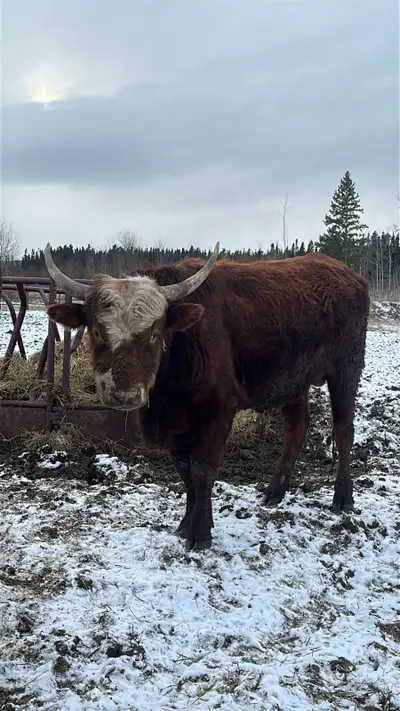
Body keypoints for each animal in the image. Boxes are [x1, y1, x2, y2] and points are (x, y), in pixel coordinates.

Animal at [44, 244, 370, 551]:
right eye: (98, 332)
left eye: (154, 334)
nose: (124, 394)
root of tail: (348, 274)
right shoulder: (175, 423)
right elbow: (185, 471)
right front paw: (187, 523)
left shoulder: (219, 411)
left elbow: (202, 469)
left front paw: (200, 533)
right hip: (294, 381)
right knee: (296, 428)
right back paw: (275, 492)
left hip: (346, 369)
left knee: (344, 429)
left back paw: (343, 497)